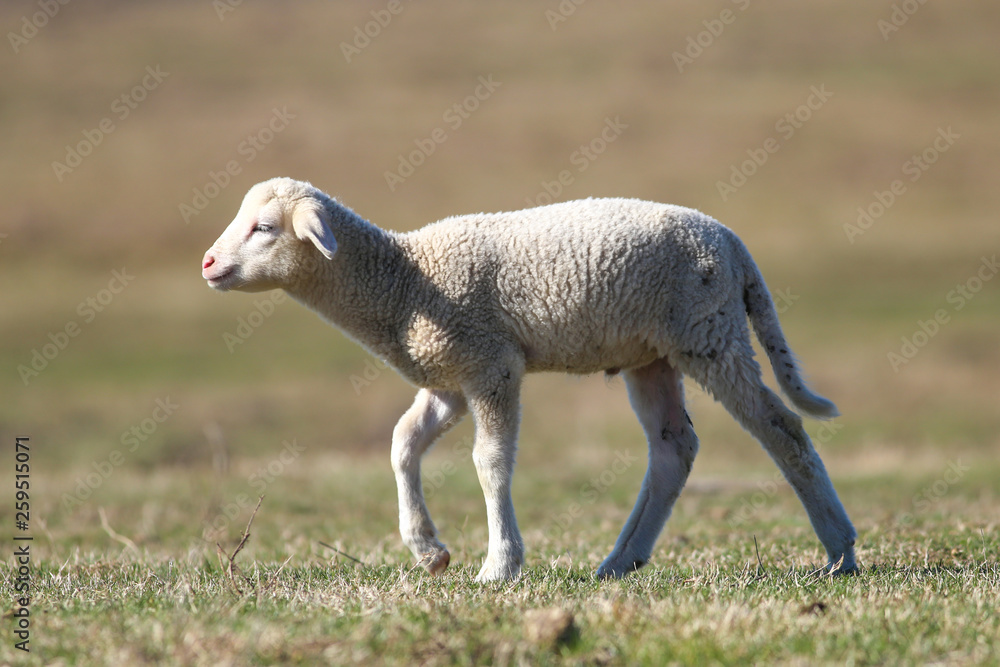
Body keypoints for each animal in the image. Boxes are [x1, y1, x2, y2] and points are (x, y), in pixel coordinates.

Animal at [202, 177, 857, 582]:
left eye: (263, 228)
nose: (207, 263)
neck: (404, 281)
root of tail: (733, 244)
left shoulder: (492, 364)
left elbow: (490, 462)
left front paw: (499, 566)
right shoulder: (450, 376)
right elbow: (402, 443)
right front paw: (428, 549)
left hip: (710, 334)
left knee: (782, 429)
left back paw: (840, 551)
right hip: (652, 355)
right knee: (675, 448)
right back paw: (621, 561)